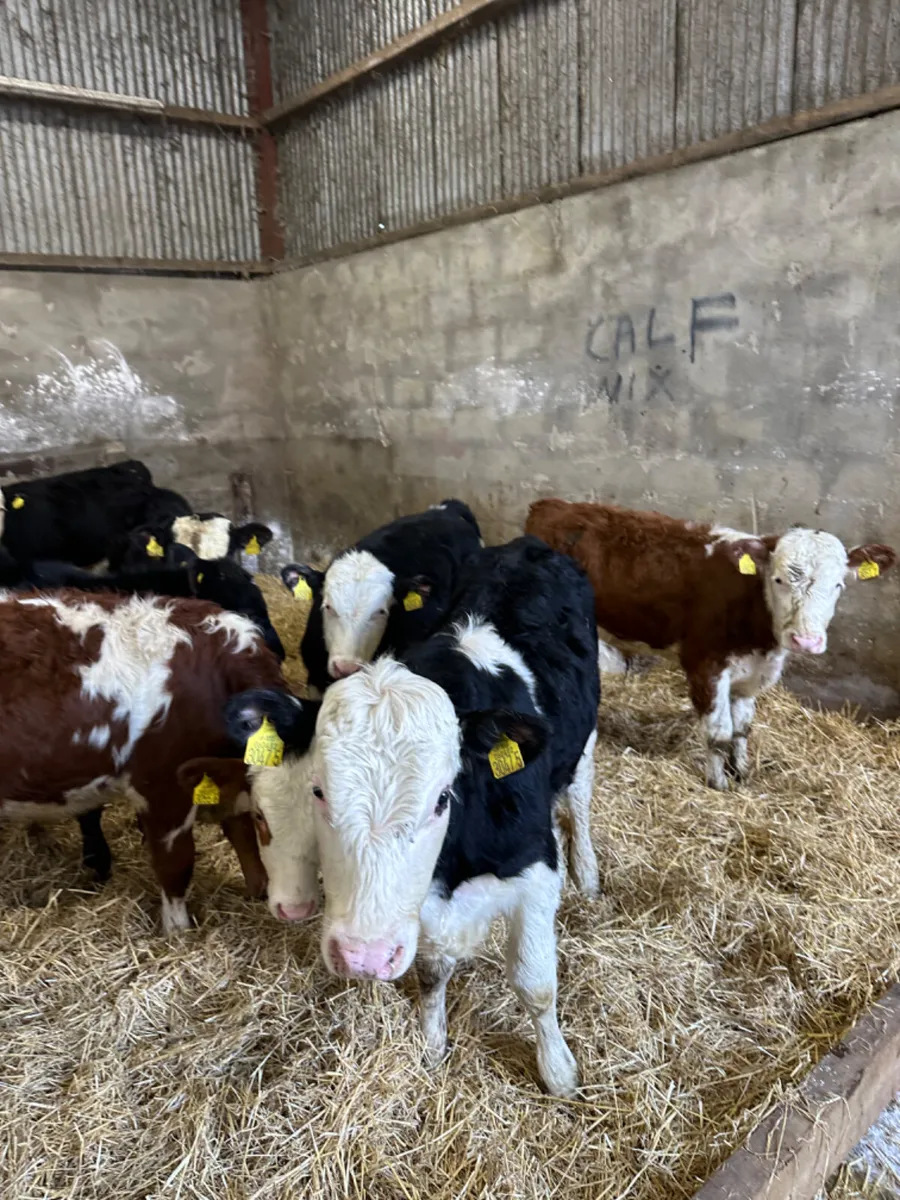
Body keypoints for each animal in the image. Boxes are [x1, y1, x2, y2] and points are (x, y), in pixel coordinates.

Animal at [230, 536, 600, 1096]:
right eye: (318, 790)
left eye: (443, 798)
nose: (361, 958)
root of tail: (527, 545)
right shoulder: (418, 905)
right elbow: (431, 970)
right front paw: (432, 1043)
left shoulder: (536, 868)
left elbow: (535, 984)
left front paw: (557, 1070)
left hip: (585, 739)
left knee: (578, 795)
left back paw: (589, 872)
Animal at [526, 498, 896, 790]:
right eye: (778, 580)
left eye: (838, 585)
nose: (806, 640)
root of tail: (550, 505)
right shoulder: (705, 666)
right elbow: (719, 733)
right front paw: (718, 783)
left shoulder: (753, 675)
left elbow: (742, 729)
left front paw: (741, 772)